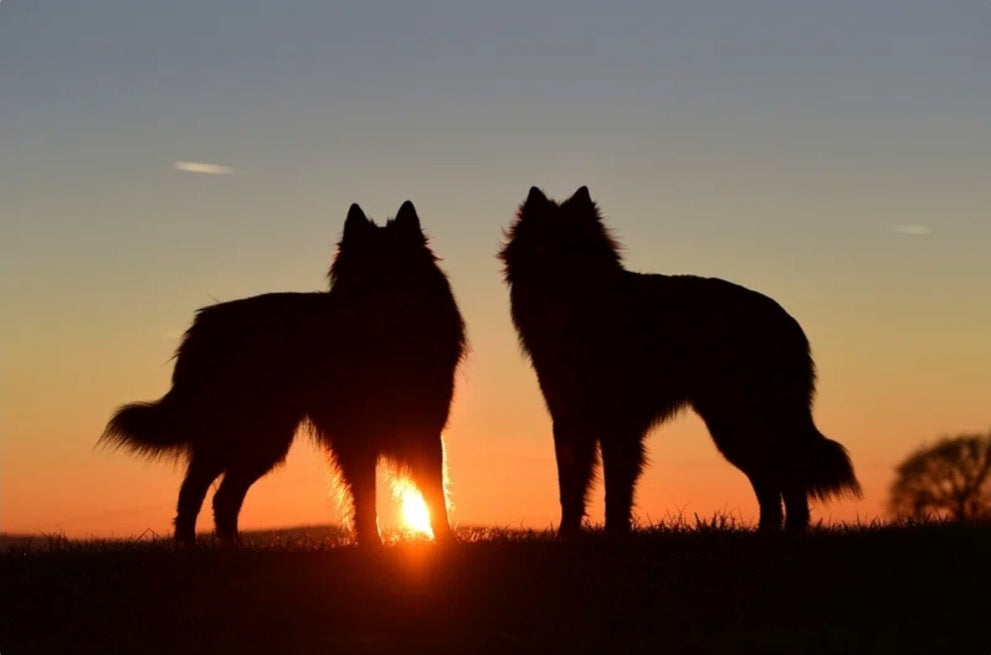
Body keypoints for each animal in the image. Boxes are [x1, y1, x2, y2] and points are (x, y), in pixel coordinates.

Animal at [102, 202, 466, 544]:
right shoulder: (356, 437)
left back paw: (232, 548)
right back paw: (189, 547)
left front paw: (444, 543)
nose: (376, 302)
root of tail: (204, 324)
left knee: (223, 498)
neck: (385, 344)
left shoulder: (425, 431)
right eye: (361, 273)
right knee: (193, 492)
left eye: (398, 266)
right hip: (241, 436)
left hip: (264, 440)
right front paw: (371, 543)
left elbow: (434, 494)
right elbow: (366, 496)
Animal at [504, 187, 860, 536]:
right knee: (771, 482)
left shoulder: (617, 424)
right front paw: (567, 536)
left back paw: (791, 532)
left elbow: (616, 491)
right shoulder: (569, 421)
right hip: (732, 426)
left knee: (788, 476)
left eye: (574, 248)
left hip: (746, 421)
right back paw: (768, 533)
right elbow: (570, 488)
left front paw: (615, 535)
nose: (550, 283)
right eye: (541, 247)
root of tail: (786, 319)